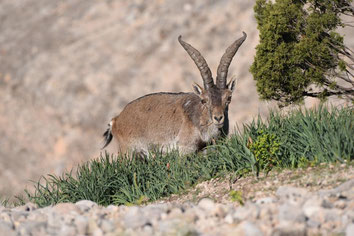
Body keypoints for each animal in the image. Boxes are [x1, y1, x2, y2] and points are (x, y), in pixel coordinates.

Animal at [102, 32, 246, 155]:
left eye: (229, 98)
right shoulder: (185, 148)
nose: (218, 118)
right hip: (128, 151)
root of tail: (115, 120)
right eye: (204, 100)